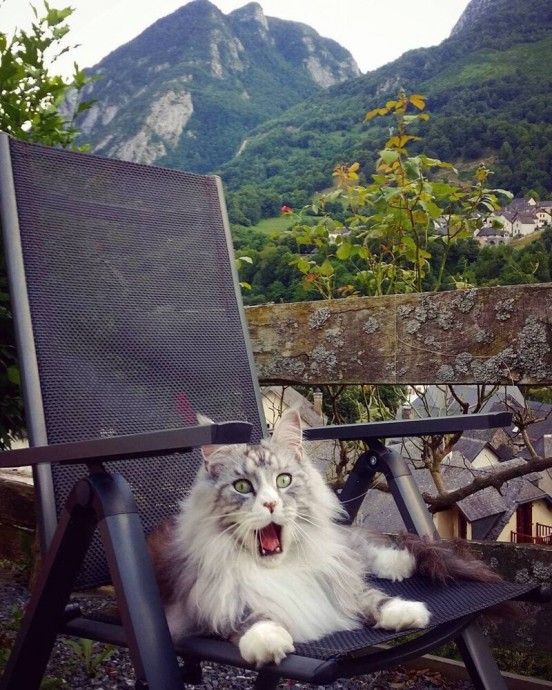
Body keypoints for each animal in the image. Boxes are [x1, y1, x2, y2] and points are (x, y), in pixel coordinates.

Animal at [148, 406, 500, 664]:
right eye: (243, 487)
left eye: (284, 480)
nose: (271, 503)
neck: (280, 569)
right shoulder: (206, 599)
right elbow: (247, 617)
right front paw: (268, 640)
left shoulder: (334, 580)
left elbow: (369, 596)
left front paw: (404, 612)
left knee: (361, 551)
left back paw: (400, 564)